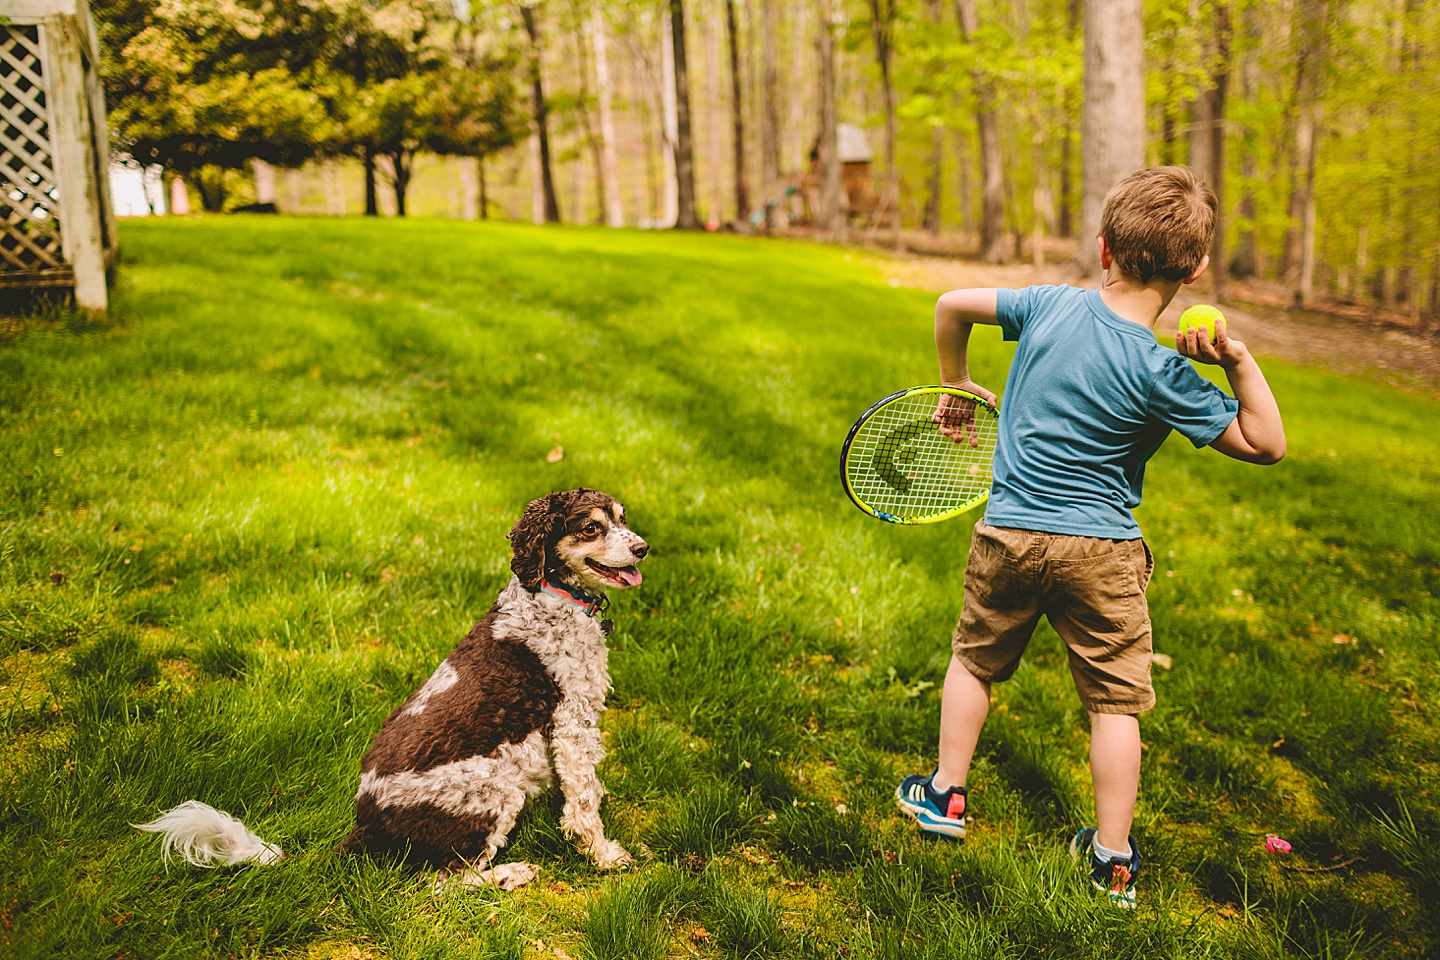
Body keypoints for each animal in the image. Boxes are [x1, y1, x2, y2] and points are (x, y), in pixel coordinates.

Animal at [132, 489, 650, 892]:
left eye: (623, 519)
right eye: (591, 527)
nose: (644, 548)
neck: (553, 596)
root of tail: (364, 825)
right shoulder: (572, 721)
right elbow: (584, 803)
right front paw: (604, 855)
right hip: (492, 790)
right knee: (443, 881)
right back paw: (511, 874)